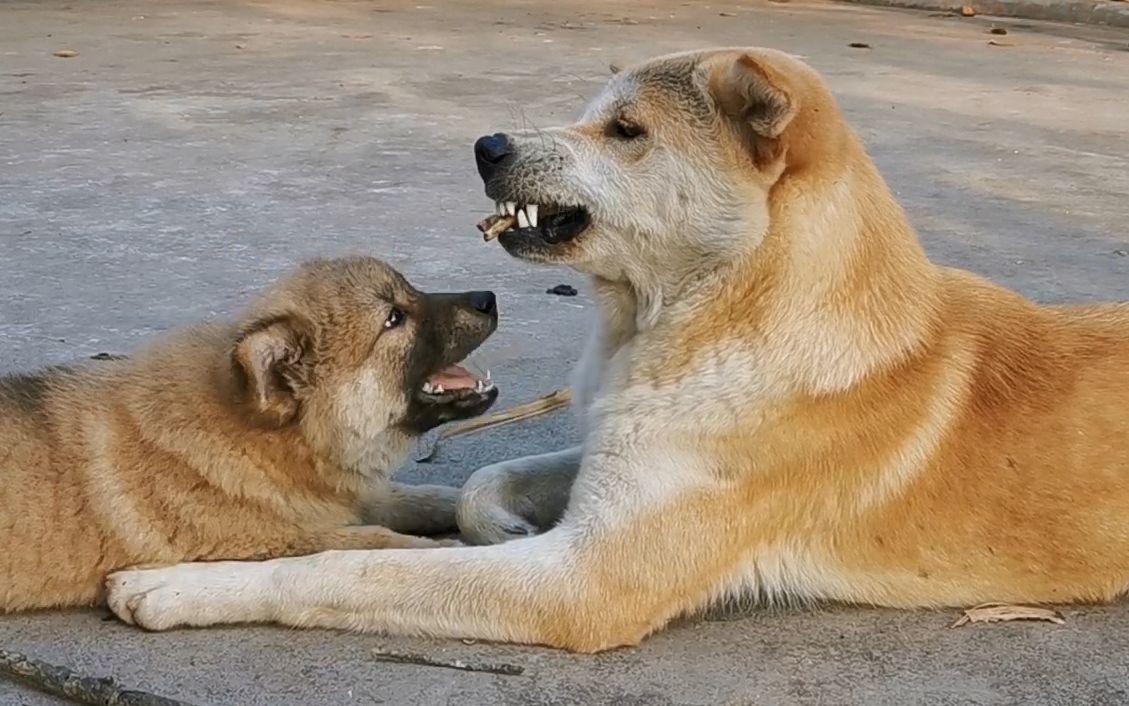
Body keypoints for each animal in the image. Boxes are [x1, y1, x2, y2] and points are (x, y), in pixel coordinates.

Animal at [2, 254, 499, 609]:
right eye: (394, 317)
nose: (489, 298)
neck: (265, 443)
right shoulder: (277, 537)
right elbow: (376, 541)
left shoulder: (340, 493)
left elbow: (406, 497)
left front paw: (455, 502)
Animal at [103, 48, 1129, 650]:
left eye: (625, 131)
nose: (486, 144)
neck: (703, 310)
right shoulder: (605, 452)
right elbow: (484, 481)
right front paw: (501, 525)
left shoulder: (583, 585)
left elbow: (352, 568)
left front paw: (174, 587)